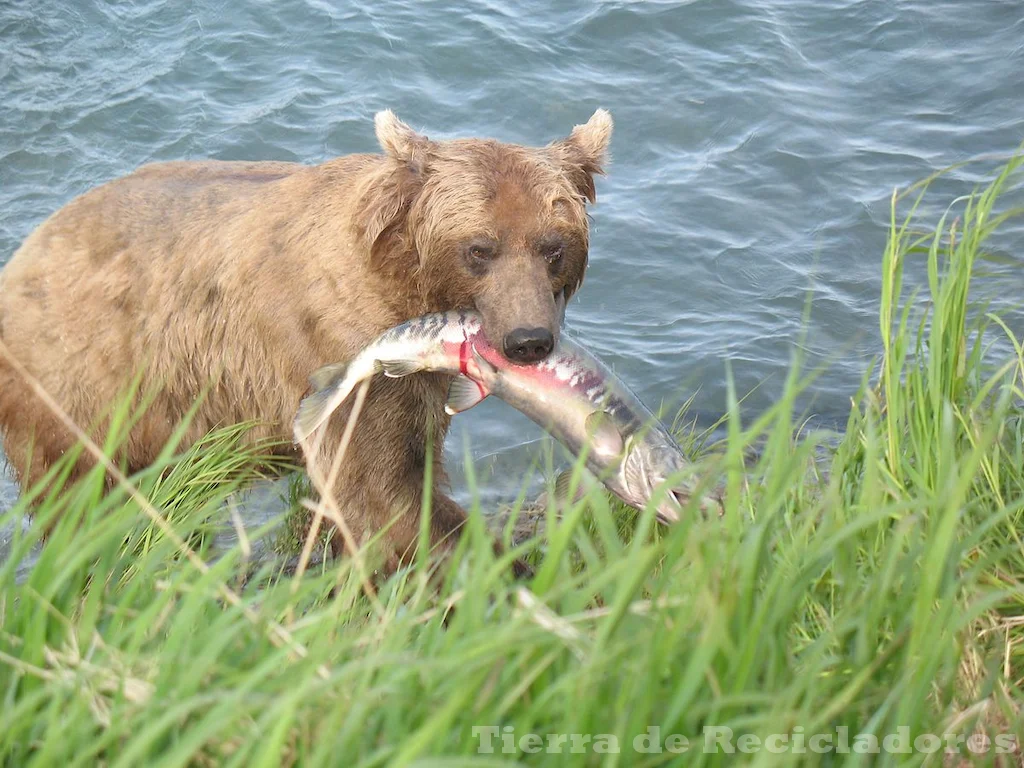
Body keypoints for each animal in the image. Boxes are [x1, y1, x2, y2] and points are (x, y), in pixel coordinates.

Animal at [0, 111, 606, 573]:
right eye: (480, 248)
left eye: (553, 247)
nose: (528, 339)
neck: (407, 289)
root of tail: (25, 251)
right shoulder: (343, 352)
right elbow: (382, 490)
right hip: (83, 382)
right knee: (85, 500)